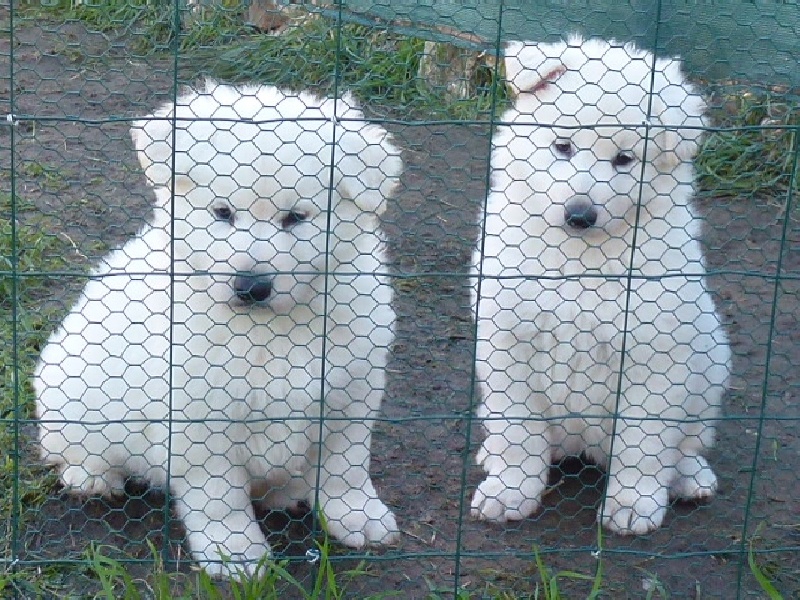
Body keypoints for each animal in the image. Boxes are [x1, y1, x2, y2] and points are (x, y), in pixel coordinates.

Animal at [35, 81, 404, 576]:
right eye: (223, 213)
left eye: (296, 217)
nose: (251, 286)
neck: (268, 330)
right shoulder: (199, 421)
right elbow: (219, 498)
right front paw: (236, 552)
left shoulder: (351, 394)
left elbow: (346, 468)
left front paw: (360, 517)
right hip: (69, 388)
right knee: (67, 445)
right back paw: (91, 476)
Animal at [476, 38, 732, 536]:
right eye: (562, 146)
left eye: (624, 160)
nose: (580, 215)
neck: (581, 256)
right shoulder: (508, 342)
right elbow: (519, 433)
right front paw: (508, 492)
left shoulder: (653, 356)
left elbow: (643, 442)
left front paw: (633, 506)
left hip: (711, 361)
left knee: (688, 441)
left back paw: (689, 477)